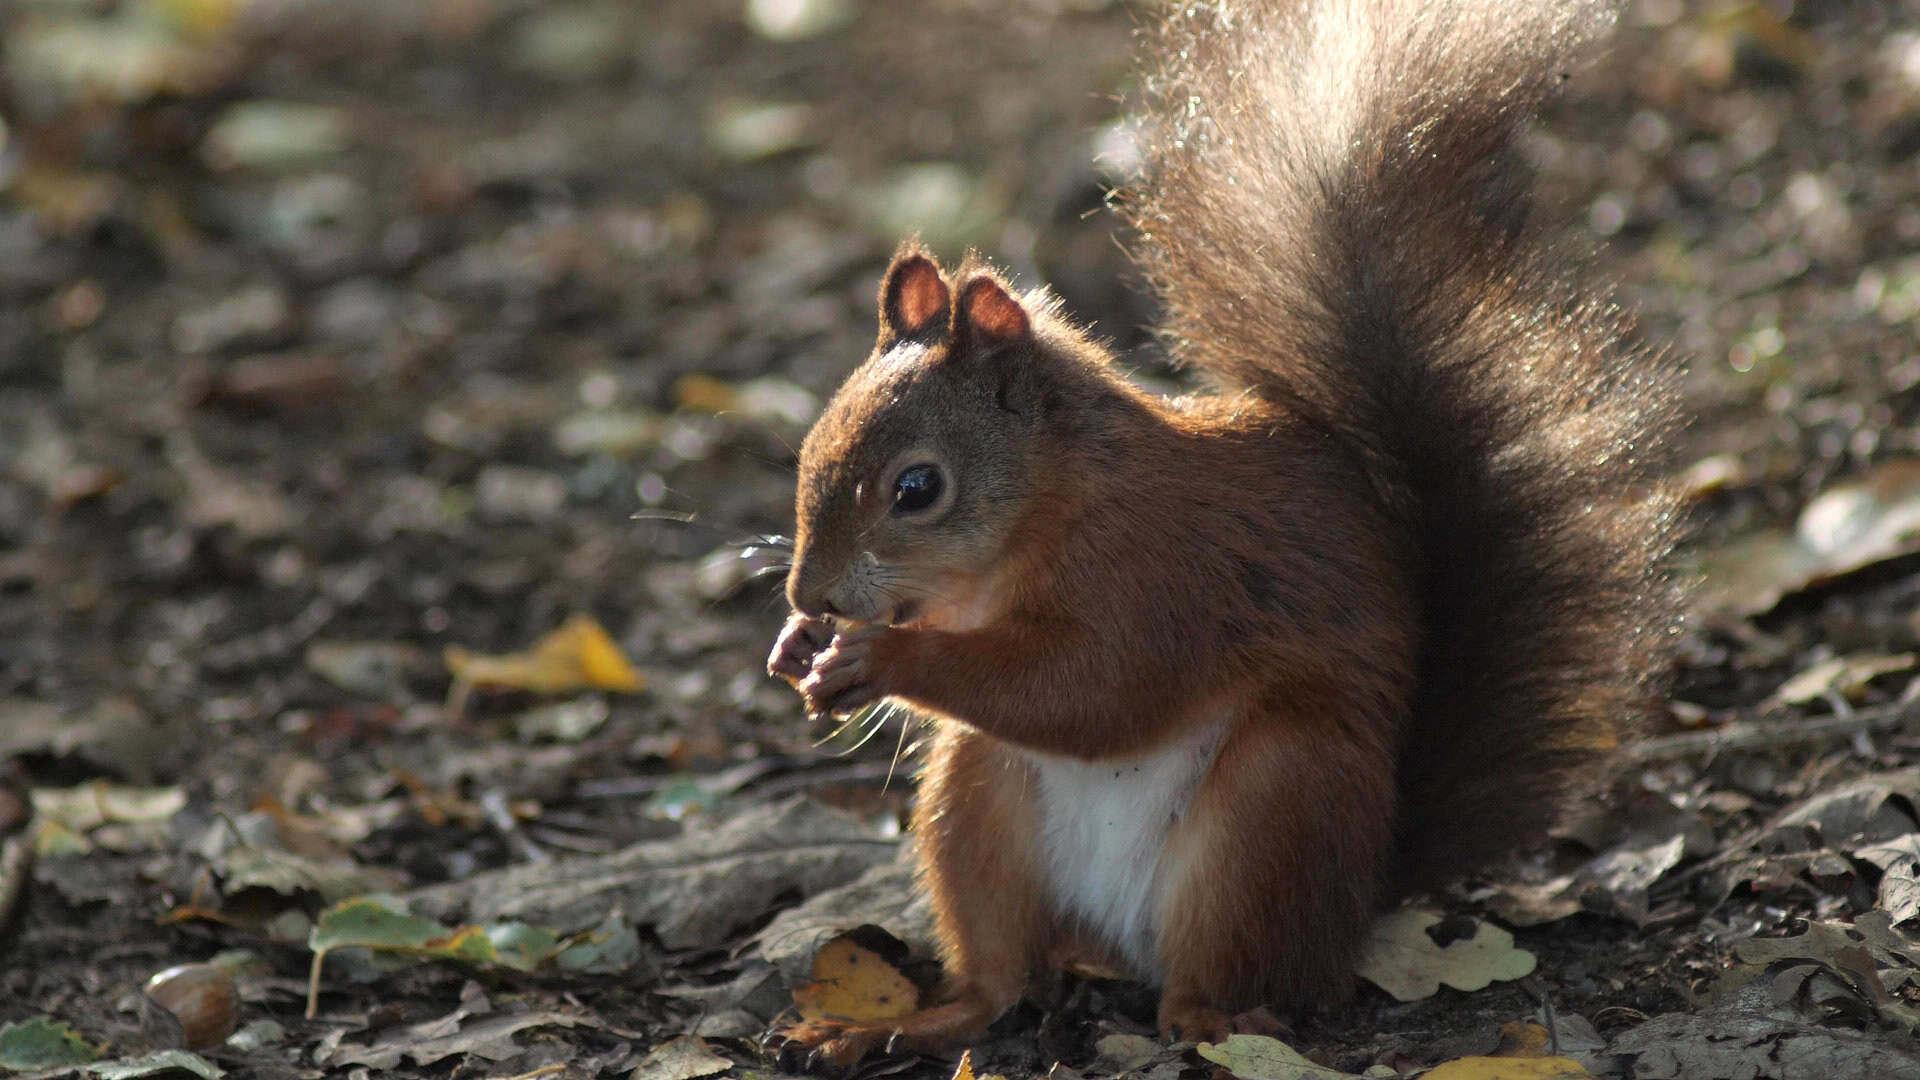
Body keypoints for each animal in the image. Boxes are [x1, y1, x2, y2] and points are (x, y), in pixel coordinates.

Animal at [766, 0, 1679, 1064]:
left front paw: (877, 659)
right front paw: (801, 648)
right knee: (1002, 980)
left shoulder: (1163, 577)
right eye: (811, 445)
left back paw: (1215, 1018)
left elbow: (1091, 690)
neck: (1051, 506)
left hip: (1272, 809)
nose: (810, 594)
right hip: (975, 801)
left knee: (1225, 975)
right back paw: (899, 1025)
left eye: (918, 487)